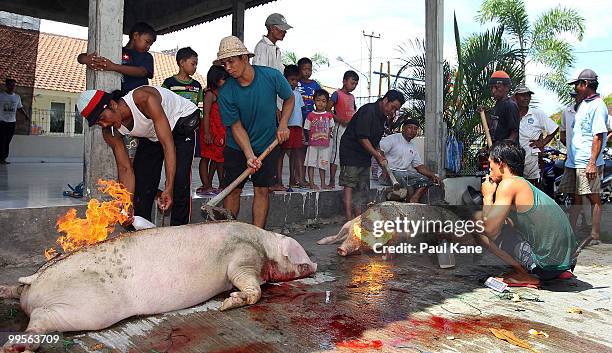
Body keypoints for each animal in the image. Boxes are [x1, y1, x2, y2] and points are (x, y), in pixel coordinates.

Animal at [0, 221, 316, 350]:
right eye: (301, 261)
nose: (314, 265)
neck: (265, 247)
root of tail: (36, 278)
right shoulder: (243, 259)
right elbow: (253, 289)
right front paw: (226, 304)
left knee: (18, 293)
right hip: (86, 309)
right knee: (41, 319)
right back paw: (14, 348)